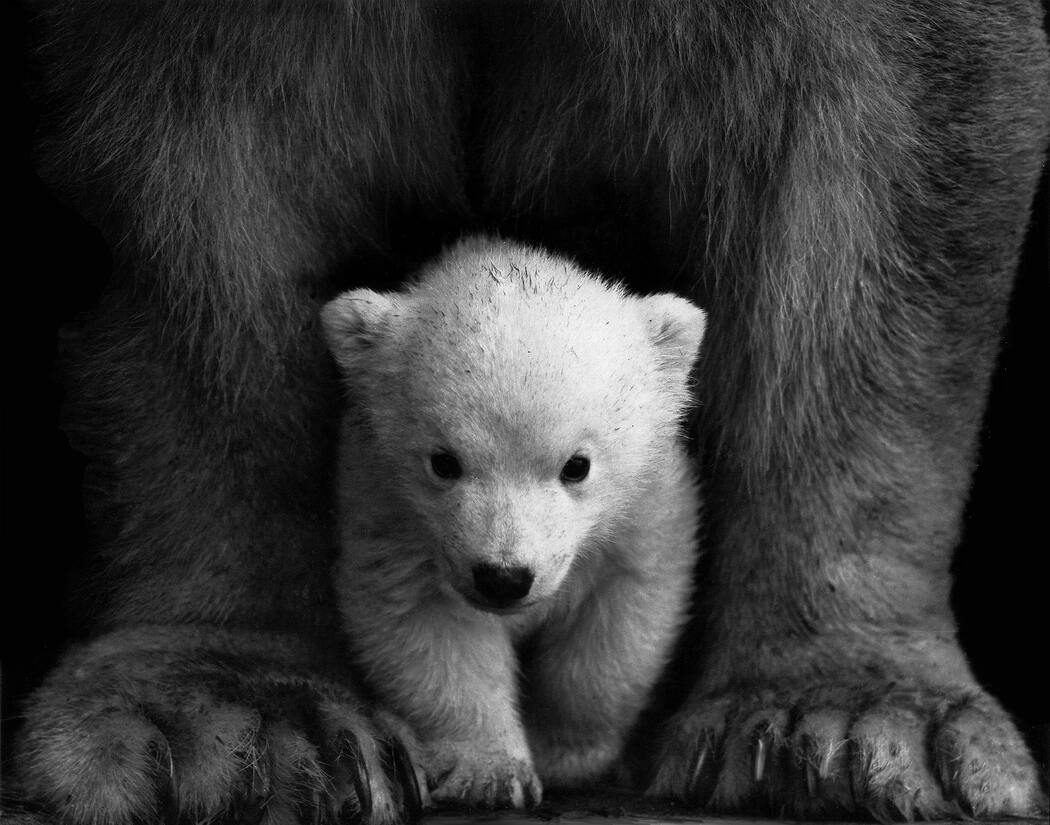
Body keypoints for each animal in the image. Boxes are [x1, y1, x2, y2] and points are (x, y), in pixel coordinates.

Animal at [320, 236, 704, 808]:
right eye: (444, 462)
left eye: (577, 465)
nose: (503, 578)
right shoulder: (388, 510)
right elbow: (427, 625)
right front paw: (491, 773)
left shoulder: (646, 510)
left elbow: (618, 623)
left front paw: (566, 755)